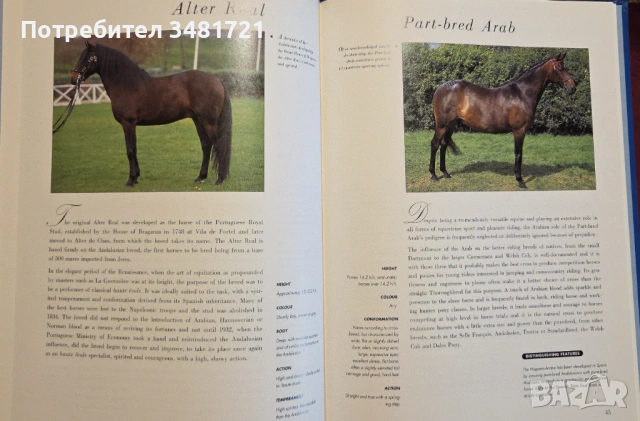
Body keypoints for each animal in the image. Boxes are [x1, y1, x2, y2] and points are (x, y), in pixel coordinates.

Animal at [70, 41, 232, 186]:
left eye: (86, 58)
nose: (73, 79)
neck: (127, 85)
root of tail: (217, 80)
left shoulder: (128, 124)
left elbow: (130, 150)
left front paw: (130, 180)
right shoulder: (132, 125)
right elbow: (134, 149)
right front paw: (136, 177)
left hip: (209, 122)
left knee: (218, 145)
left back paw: (219, 179)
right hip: (198, 120)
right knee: (206, 145)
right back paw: (200, 177)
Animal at [429, 52, 576, 188]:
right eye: (560, 68)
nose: (573, 87)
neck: (522, 94)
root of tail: (440, 88)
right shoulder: (519, 130)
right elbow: (518, 154)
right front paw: (520, 180)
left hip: (451, 125)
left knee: (443, 144)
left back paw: (445, 173)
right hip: (442, 125)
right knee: (435, 144)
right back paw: (433, 175)